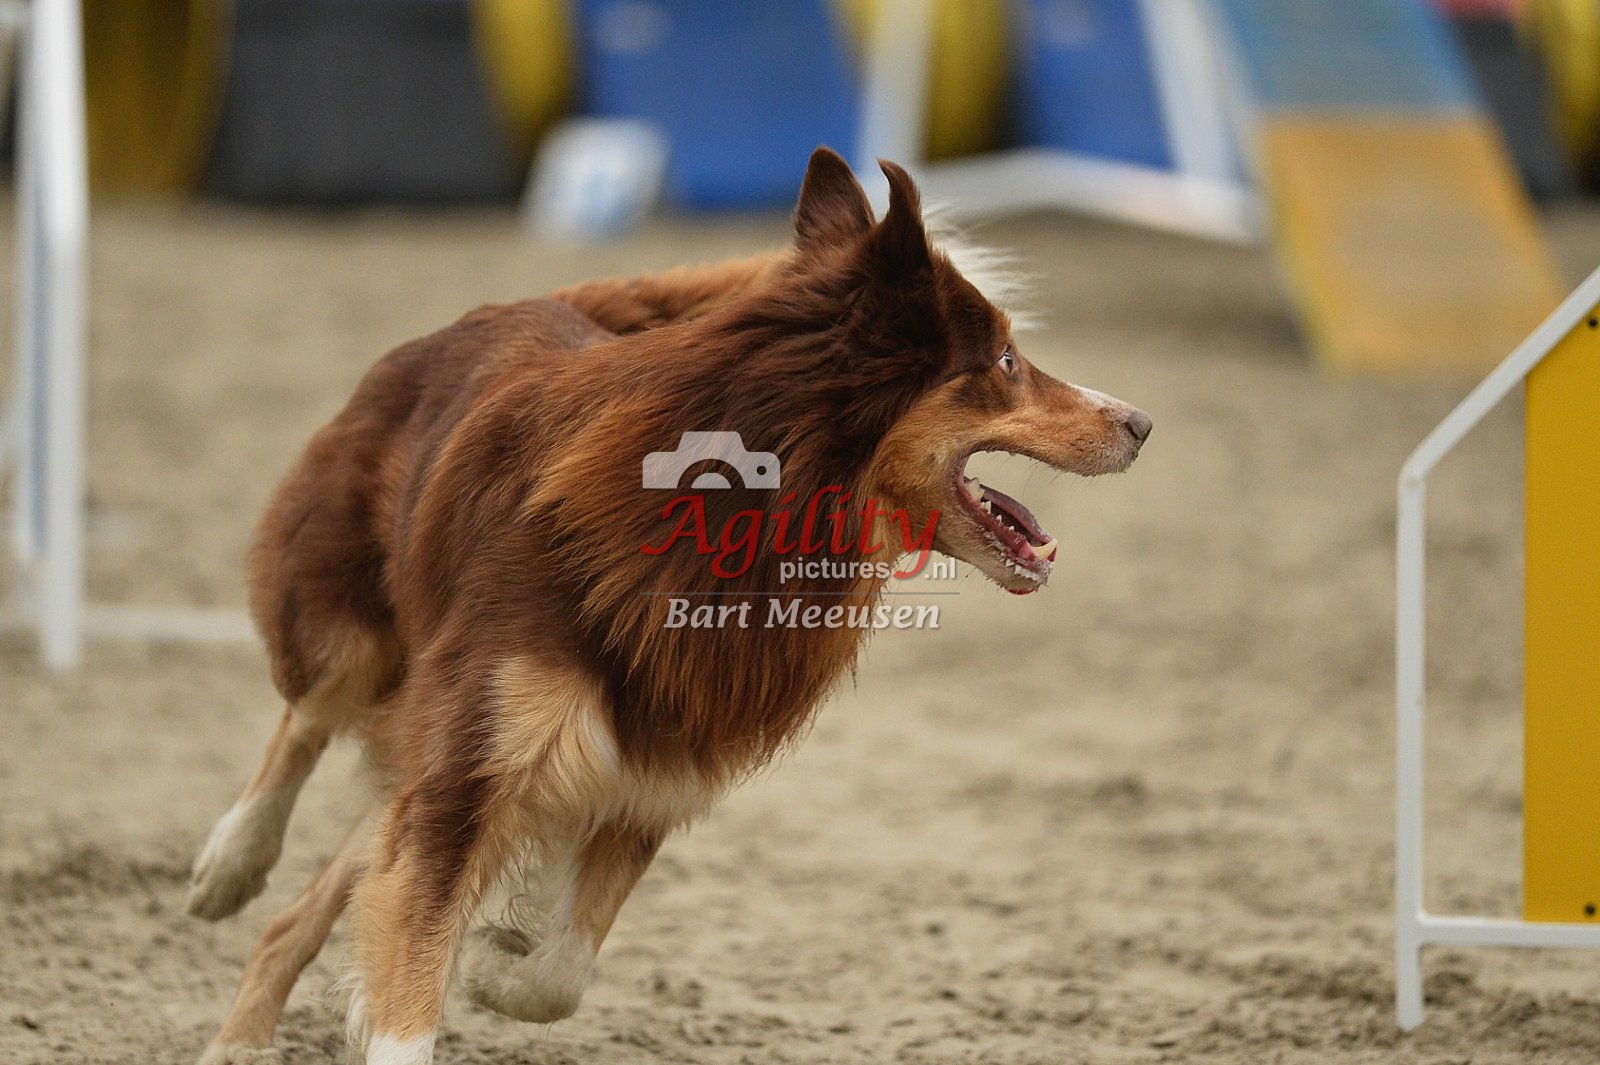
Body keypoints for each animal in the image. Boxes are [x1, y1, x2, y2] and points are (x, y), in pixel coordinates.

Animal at [186, 147, 1150, 1065]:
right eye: (1005, 362)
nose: (1141, 423)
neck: (737, 520)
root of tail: (527, 300)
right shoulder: (476, 766)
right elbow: (413, 978)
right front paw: (454, 965)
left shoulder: (652, 767)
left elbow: (558, 971)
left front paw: (496, 959)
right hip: (350, 626)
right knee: (306, 716)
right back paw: (229, 868)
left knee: (322, 885)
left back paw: (247, 1023)